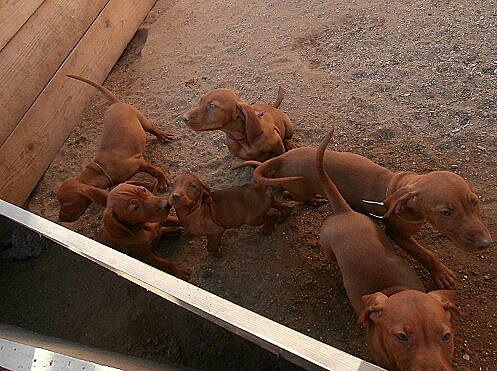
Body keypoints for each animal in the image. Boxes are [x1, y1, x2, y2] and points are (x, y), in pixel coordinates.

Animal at [57, 74, 170, 222]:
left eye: (67, 204)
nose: (60, 218)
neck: (101, 170)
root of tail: (116, 103)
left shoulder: (139, 163)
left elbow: (156, 170)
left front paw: (162, 181)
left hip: (143, 121)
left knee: (153, 129)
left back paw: (162, 135)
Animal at [234, 141, 490, 290]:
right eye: (446, 212)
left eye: (475, 202)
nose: (486, 243)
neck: (400, 187)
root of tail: (284, 158)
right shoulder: (398, 236)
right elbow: (425, 253)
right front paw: (440, 272)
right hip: (302, 187)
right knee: (294, 193)